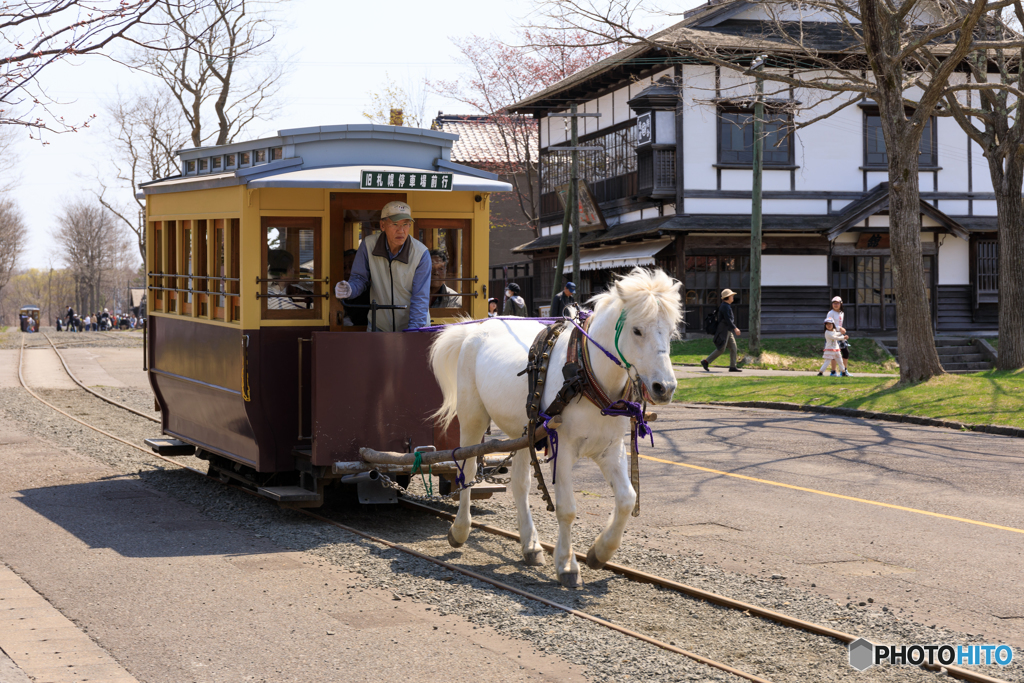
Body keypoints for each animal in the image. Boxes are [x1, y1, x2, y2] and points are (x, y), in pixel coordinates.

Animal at [428, 266, 684, 589]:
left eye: (671, 332)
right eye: (637, 330)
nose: (665, 388)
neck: (587, 376)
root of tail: (477, 328)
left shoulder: (610, 449)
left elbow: (627, 499)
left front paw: (600, 552)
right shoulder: (562, 448)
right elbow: (567, 508)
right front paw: (566, 564)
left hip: (523, 431)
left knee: (519, 484)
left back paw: (530, 544)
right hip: (473, 418)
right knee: (468, 470)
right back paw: (460, 530)